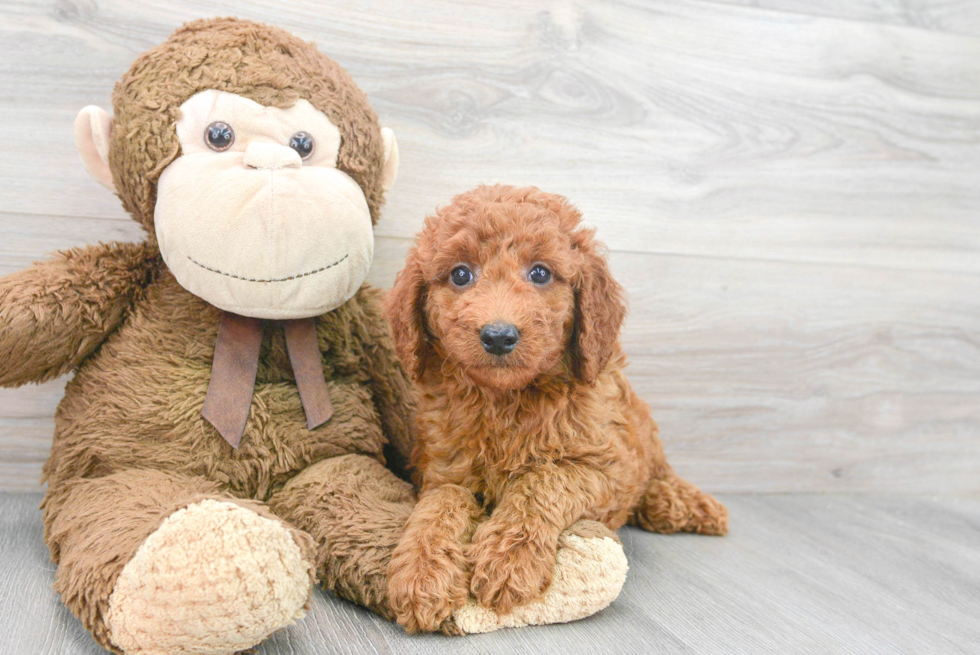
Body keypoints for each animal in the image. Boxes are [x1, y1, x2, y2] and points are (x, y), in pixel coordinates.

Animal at [382, 186, 728, 636]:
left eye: (540, 274)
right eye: (460, 275)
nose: (498, 335)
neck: (506, 399)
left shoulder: (606, 465)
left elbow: (544, 480)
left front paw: (509, 559)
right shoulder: (444, 470)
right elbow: (439, 506)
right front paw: (421, 575)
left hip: (643, 435)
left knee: (656, 472)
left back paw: (686, 503)